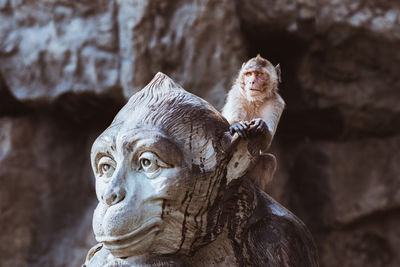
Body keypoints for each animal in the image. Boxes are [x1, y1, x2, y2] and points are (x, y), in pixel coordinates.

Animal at [222, 55, 284, 193]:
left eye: (260, 74)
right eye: (249, 74)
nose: (252, 82)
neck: (255, 100)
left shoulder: (277, 103)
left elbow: (266, 143)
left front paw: (261, 125)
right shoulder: (236, 94)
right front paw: (236, 126)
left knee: (269, 160)